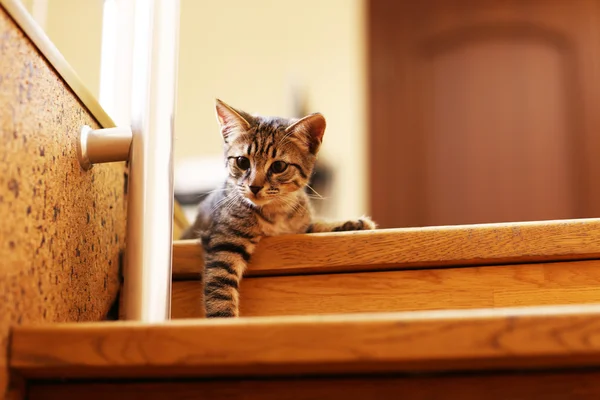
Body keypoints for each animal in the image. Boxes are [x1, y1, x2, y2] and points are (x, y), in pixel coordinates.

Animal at [180, 98, 376, 318]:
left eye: (278, 166)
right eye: (242, 161)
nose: (254, 186)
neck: (276, 212)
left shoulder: (299, 226)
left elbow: (316, 225)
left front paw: (352, 223)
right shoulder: (225, 242)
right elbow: (220, 291)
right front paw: (224, 320)